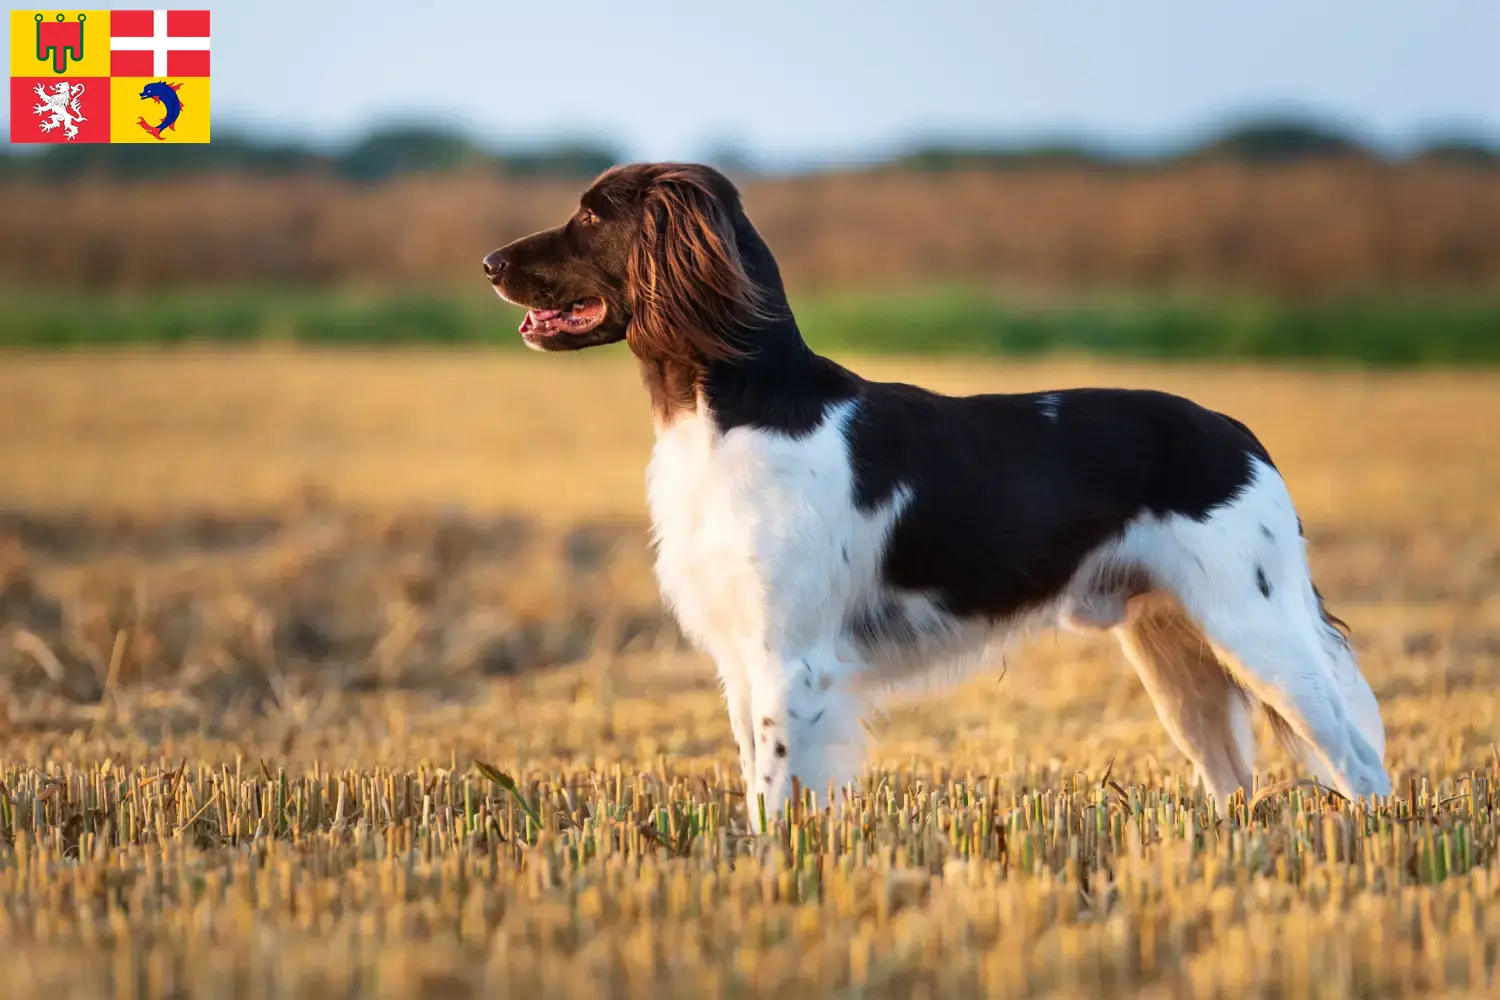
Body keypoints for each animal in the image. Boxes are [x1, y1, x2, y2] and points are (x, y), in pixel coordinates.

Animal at [483, 162, 1392, 821]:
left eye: (593, 215)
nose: (488, 262)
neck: (737, 409)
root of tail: (1240, 435)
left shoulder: (791, 659)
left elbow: (774, 794)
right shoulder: (742, 657)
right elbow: (758, 781)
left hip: (1257, 630)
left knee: (1358, 755)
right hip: (1177, 653)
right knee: (1233, 778)